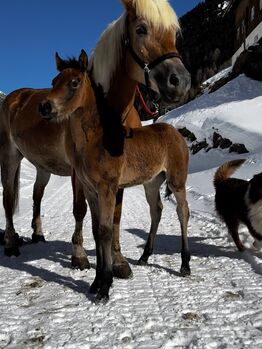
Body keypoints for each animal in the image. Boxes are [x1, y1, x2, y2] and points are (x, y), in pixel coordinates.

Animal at [0, 0, 190, 278]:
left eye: (175, 34)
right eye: (141, 29)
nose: (180, 82)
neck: (108, 116)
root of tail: (15, 98)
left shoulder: (116, 178)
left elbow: (115, 218)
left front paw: (119, 261)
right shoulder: (79, 174)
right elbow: (81, 211)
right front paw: (80, 256)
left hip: (42, 166)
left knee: (36, 195)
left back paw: (37, 234)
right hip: (10, 156)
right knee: (8, 198)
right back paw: (11, 243)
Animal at [39, 50, 190, 304]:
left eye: (74, 82)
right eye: (53, 81)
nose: (45, 107)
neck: (97, 141)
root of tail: (176, 134)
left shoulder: (108, 188)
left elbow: (106, 230)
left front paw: (105, 286)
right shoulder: (91, 190)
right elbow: (95, 229)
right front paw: (96, 282)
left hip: (177, 180)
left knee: (182, 212)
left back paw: (185, 264)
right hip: (151, 183)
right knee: (156, 210)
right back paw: (144, 257)